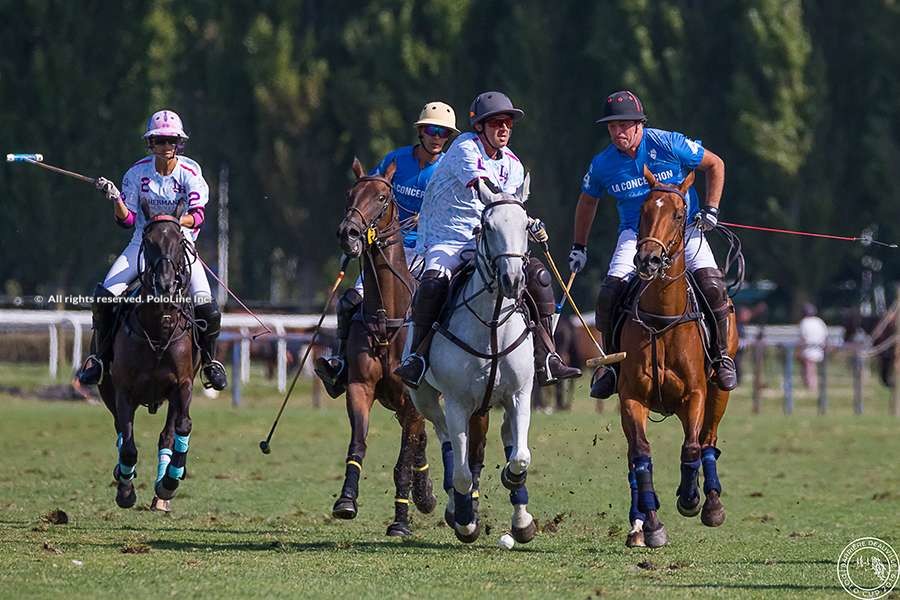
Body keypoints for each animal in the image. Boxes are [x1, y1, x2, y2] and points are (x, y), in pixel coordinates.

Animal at [99, 199, 203, 512]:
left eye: (180, 241)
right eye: (148, 241)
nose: (166, 285)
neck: (158, 327)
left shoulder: (183, 385)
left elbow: (182, 427)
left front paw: (170, 481)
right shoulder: (122, 390)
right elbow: (128, 444)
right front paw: (125, 490)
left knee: (167, 435)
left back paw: (162, 491)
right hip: (107, 389)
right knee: (121, 433)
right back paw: (123, 476)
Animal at [334, 158, 440, 536]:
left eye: (382, 197)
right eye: (349, 193)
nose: (348, 233)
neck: (387, 315)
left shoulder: (411, 399)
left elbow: (402, 461)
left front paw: (400, 521)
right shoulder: (360, 386)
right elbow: (358, 443)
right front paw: (346, 500)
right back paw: (426, 494)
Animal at [406, 186, 536, 544]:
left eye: (526, 225)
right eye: (487, 227)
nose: (512, 280)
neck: (491, 326)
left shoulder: (520, 394)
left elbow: (520, 458)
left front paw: (519, 511)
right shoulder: (457, 402)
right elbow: (463, 475)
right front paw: (465, 521)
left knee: (503, 438)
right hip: (426, 398)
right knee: (447, 441)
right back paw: (456, 509)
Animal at [620, 168, 740, 548]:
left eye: (677, 214)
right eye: (643, 210)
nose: (647, 260)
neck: (663, 317)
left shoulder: (696, 394)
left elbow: (691, 447)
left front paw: (690, 498)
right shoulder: (630, 397)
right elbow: (641, 455)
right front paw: (652, 525)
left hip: (720, 391)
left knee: (708, 441)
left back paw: (712, 503)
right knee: (634, 458)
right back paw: (637, 526)